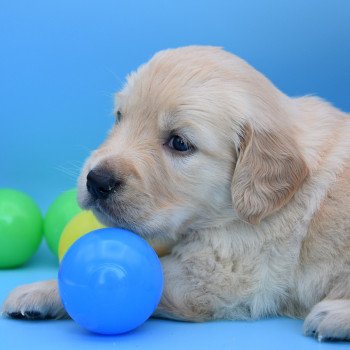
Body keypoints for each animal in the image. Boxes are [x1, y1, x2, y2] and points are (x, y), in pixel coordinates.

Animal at [2, 45, 350, 340]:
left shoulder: (216, 274)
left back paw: (332, 315)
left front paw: (38, 290)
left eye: (179, 143)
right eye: (119, 117)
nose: (97, 181)